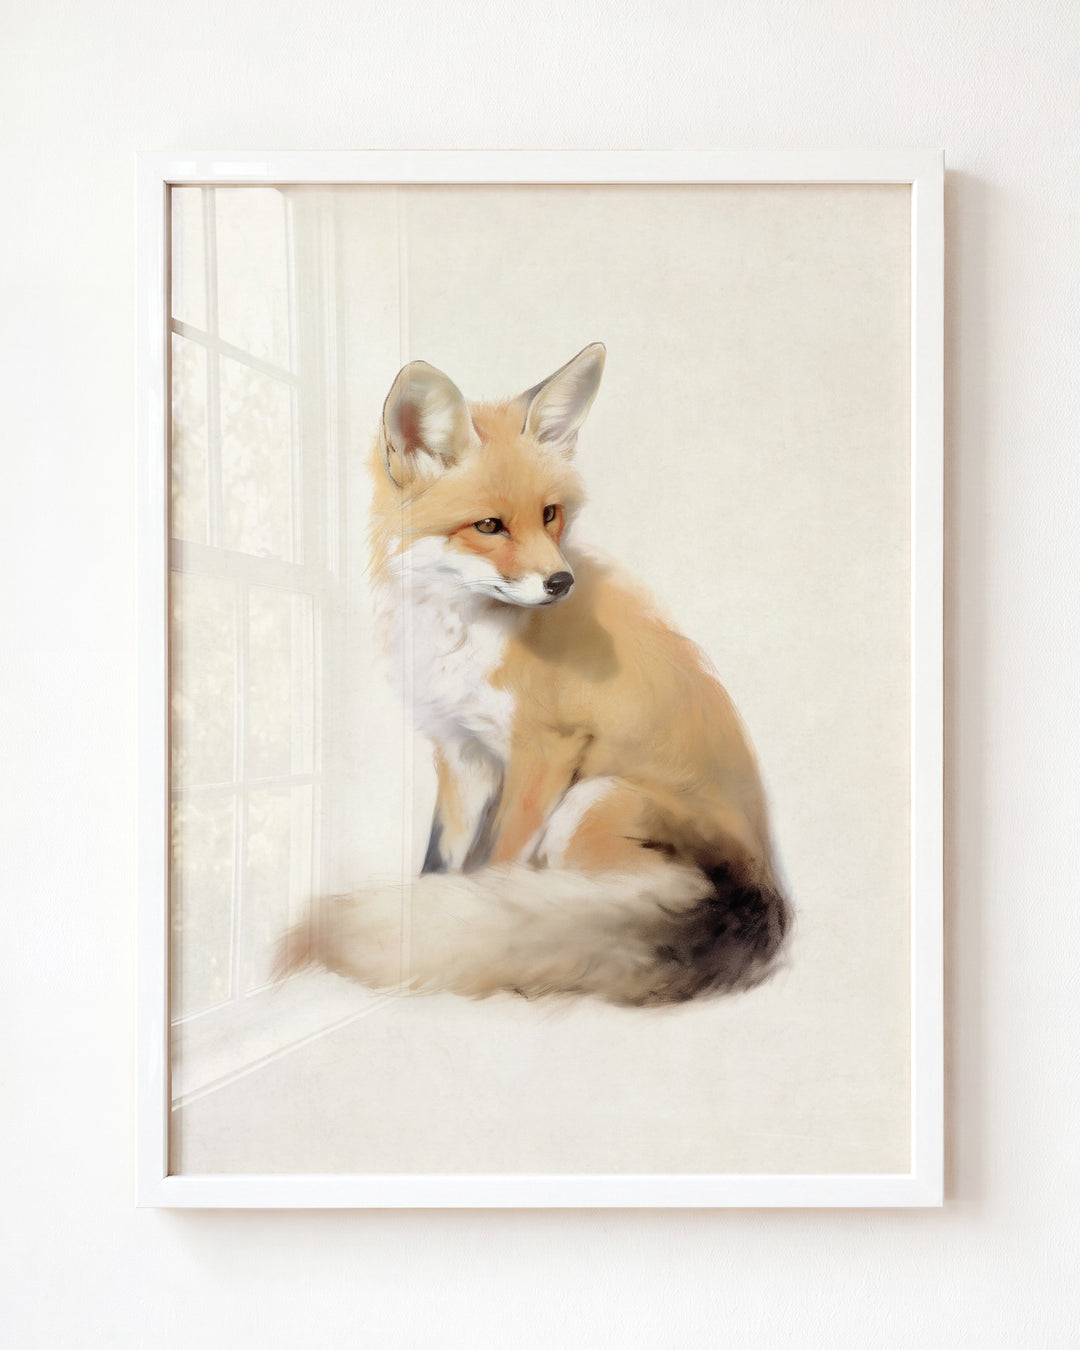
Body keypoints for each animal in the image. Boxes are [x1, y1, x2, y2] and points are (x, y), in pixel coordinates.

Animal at [288, 342, 790, 1006]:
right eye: (489, 526)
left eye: (550, 514)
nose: (561, 582)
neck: (457, 637)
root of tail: (765, 893)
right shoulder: (461, 754)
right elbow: (442, 860)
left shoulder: (545, 752)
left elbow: (497, 868)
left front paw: (471, 925)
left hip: (591, 801)